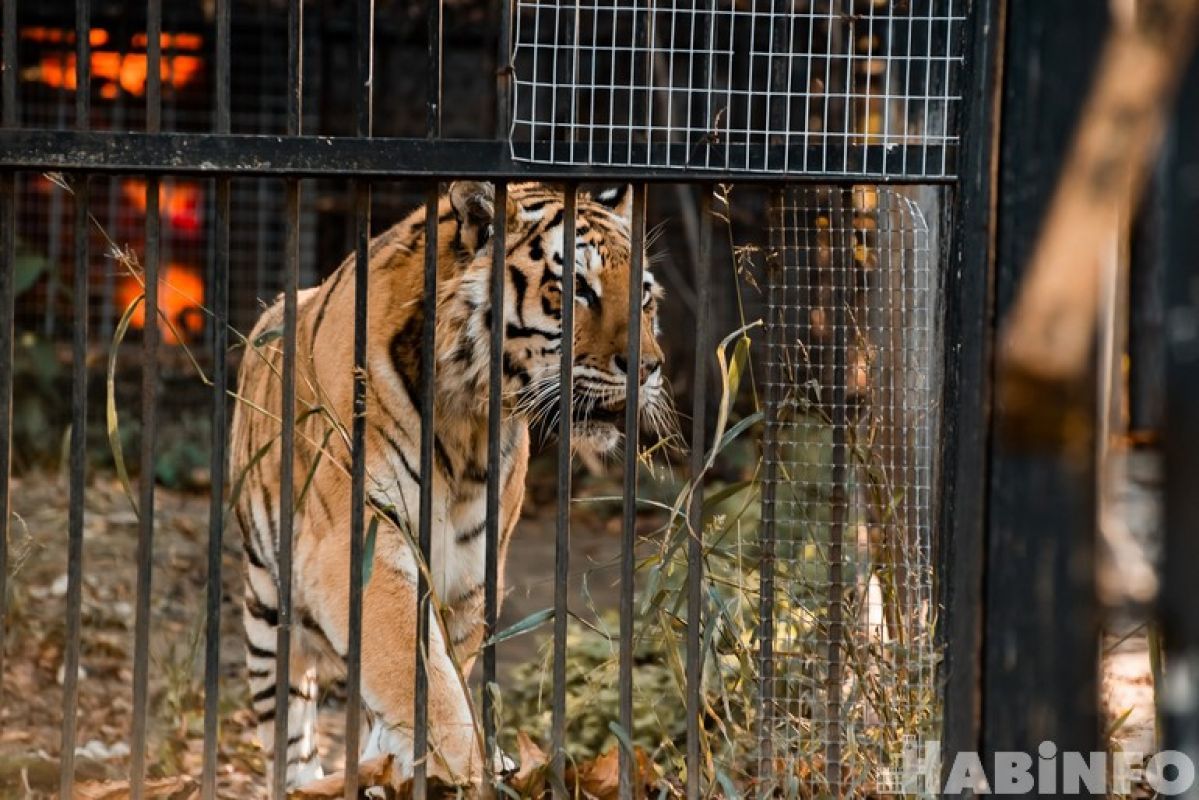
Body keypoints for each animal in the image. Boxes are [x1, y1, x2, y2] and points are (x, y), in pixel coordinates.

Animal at [226, 179, 676, 786]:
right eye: (578, 288)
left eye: (645, 296)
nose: (650, 368)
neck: (469, 417)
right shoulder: (358, 544)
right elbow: (423, 684)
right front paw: (466, 772)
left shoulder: (472, 567)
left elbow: (439, 675)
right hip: (268, 611)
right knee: (291, 732)